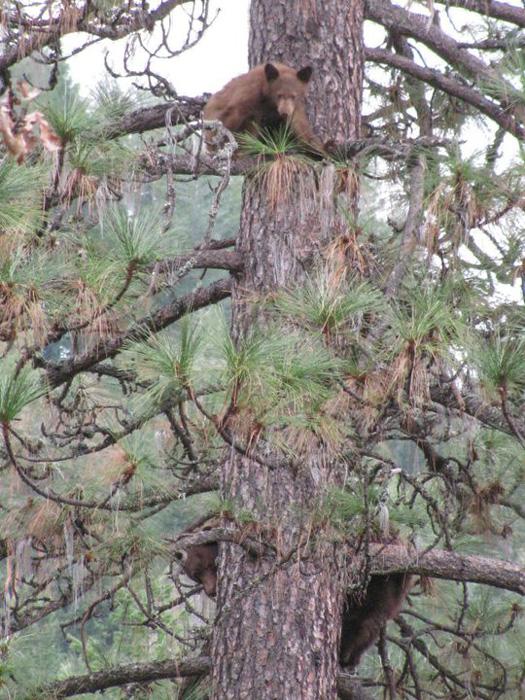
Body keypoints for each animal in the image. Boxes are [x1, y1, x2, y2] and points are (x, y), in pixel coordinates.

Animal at [175, 542, 411, 668]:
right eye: (195, 577)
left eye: (204, 569)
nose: (211, 591)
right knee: (368, 625)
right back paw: (348, 657)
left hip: (370, 583)